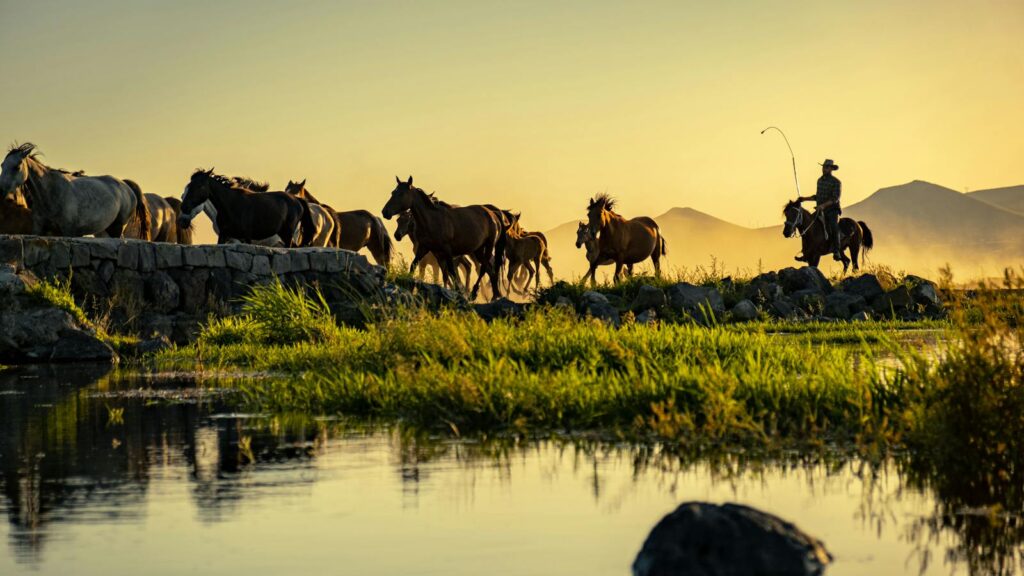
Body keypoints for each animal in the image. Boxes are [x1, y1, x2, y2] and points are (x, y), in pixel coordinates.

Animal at [0, 143, 149, 239]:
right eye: (2, 165)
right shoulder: (38, 229)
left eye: (17, 166)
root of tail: (126, 185)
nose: (2, 190)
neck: (50, 194)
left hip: (117, 228)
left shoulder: (68, 231)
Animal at [178, 169, 314, 247]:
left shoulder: (243, 238)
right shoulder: (224, 236)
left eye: (200, 186)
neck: (230, 206)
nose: (182, 221)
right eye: (182, 194)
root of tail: (297, 200)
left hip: (288, 235)